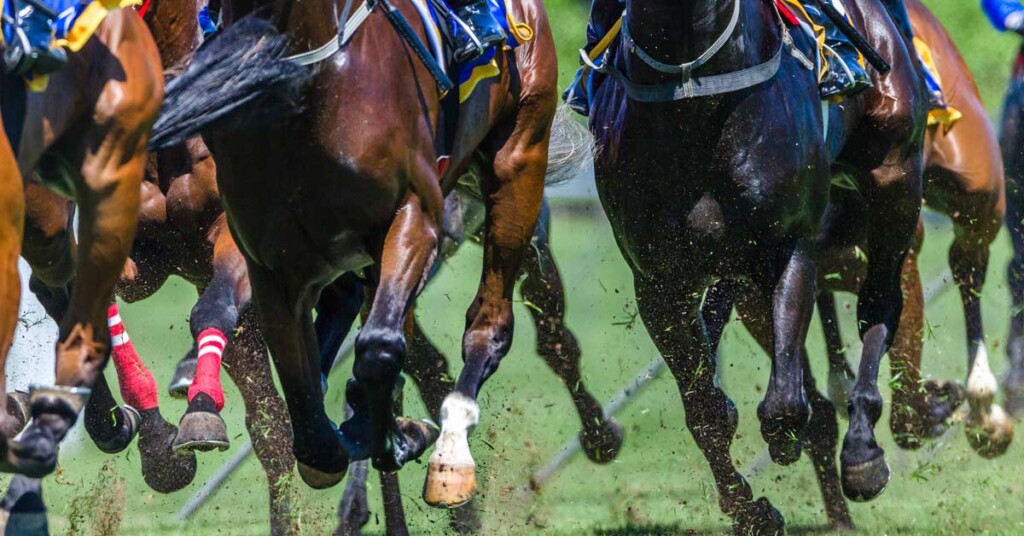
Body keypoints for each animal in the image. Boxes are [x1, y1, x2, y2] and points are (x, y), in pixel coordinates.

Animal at [149, 0, 585, 510]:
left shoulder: (413, 214)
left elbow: (379, 348)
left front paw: (397, 437)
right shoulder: (271, 263)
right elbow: (308, 416)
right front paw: (364, 431)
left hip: (519, 160)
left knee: (489, 322)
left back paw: (452, 450)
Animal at [588, 0, 927, 531]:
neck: (694, 95)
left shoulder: (788, 247)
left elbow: (784, 403)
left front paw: (793, 444)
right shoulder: (660, 283)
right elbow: (707, 412)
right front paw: (752, 511)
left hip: (895, 177)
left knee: (881, 303)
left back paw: (863, 453)